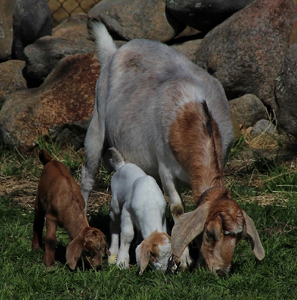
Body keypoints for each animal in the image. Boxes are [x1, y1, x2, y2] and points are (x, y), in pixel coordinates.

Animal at [80, 21, 262, 274]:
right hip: (96, 124)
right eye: (210, 234)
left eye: (238, 238)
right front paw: (184, 260)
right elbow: (177, 208)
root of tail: (114, 51)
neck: (191, 112)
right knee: (87, 177)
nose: (221, 271)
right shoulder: (165, 167)